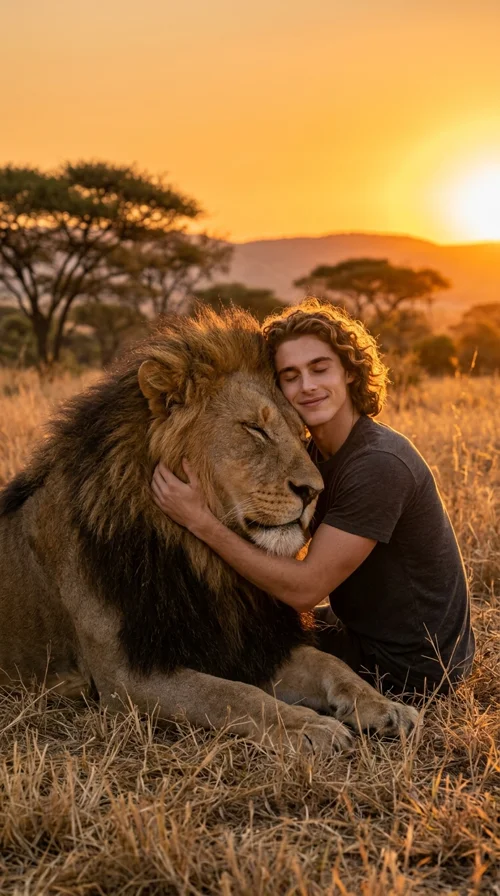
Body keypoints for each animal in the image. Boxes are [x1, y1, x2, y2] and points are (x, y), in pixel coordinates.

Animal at [0, 308, 418, 752]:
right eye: (254, 429)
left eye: (303, 434)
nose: (314, 492)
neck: (199, 558)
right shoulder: (124, 676)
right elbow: (234, 695)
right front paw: (309, 727)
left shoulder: (254, 643)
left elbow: (330, 663)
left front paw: (386, 707)